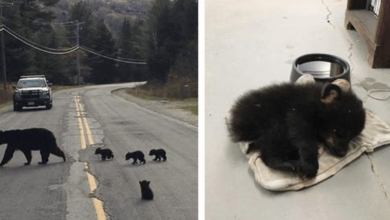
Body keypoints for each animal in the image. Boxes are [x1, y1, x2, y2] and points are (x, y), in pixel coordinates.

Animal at [229, 81, 366, 178]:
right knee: (269, 155)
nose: (343, 153)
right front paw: (310, 165)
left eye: (352, 137)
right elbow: (305, 137)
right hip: (275, 124)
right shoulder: (298, 113)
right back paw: (290, 164)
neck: (316, 103)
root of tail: (236, 122)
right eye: (339, 132)